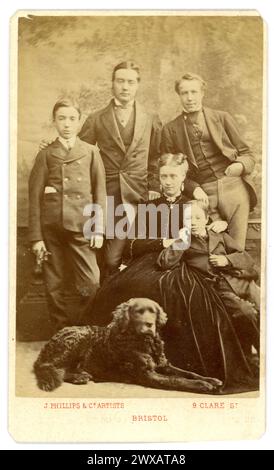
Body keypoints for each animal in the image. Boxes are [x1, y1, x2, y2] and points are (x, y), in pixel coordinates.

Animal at [34, 298, 223, 392]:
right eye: (138, 312)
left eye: (153, 312)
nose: (149, 325)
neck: (144, 342)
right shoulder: (148, 374)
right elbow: (177, 380)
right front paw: (202, 385)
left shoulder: (164, 364)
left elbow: (188, 373)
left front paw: (210, 379)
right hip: (78, 339)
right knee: (50, 367)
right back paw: (78, 377)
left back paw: (81, 375)